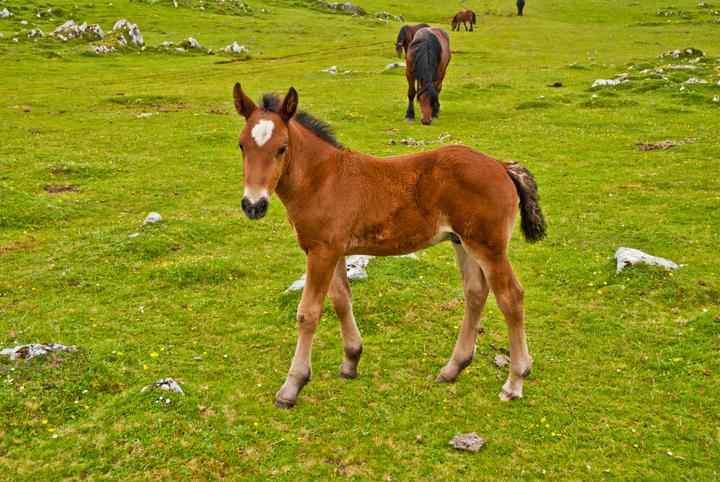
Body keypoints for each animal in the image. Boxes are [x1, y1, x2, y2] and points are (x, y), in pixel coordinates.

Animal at [233, 82, 548, 406]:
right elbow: (341, 300)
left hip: (489, 247)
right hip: (462, 243)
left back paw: (515, 381)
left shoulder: (322, 251)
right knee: (475, 293)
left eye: (281, 148)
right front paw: (351, 362)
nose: (253, 205)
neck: (321, 179)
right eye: (242, 145)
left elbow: (308, 313)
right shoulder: (333, 250)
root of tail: (501, 165)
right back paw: (452, 369)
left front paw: (291, 386)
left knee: (511, 297)